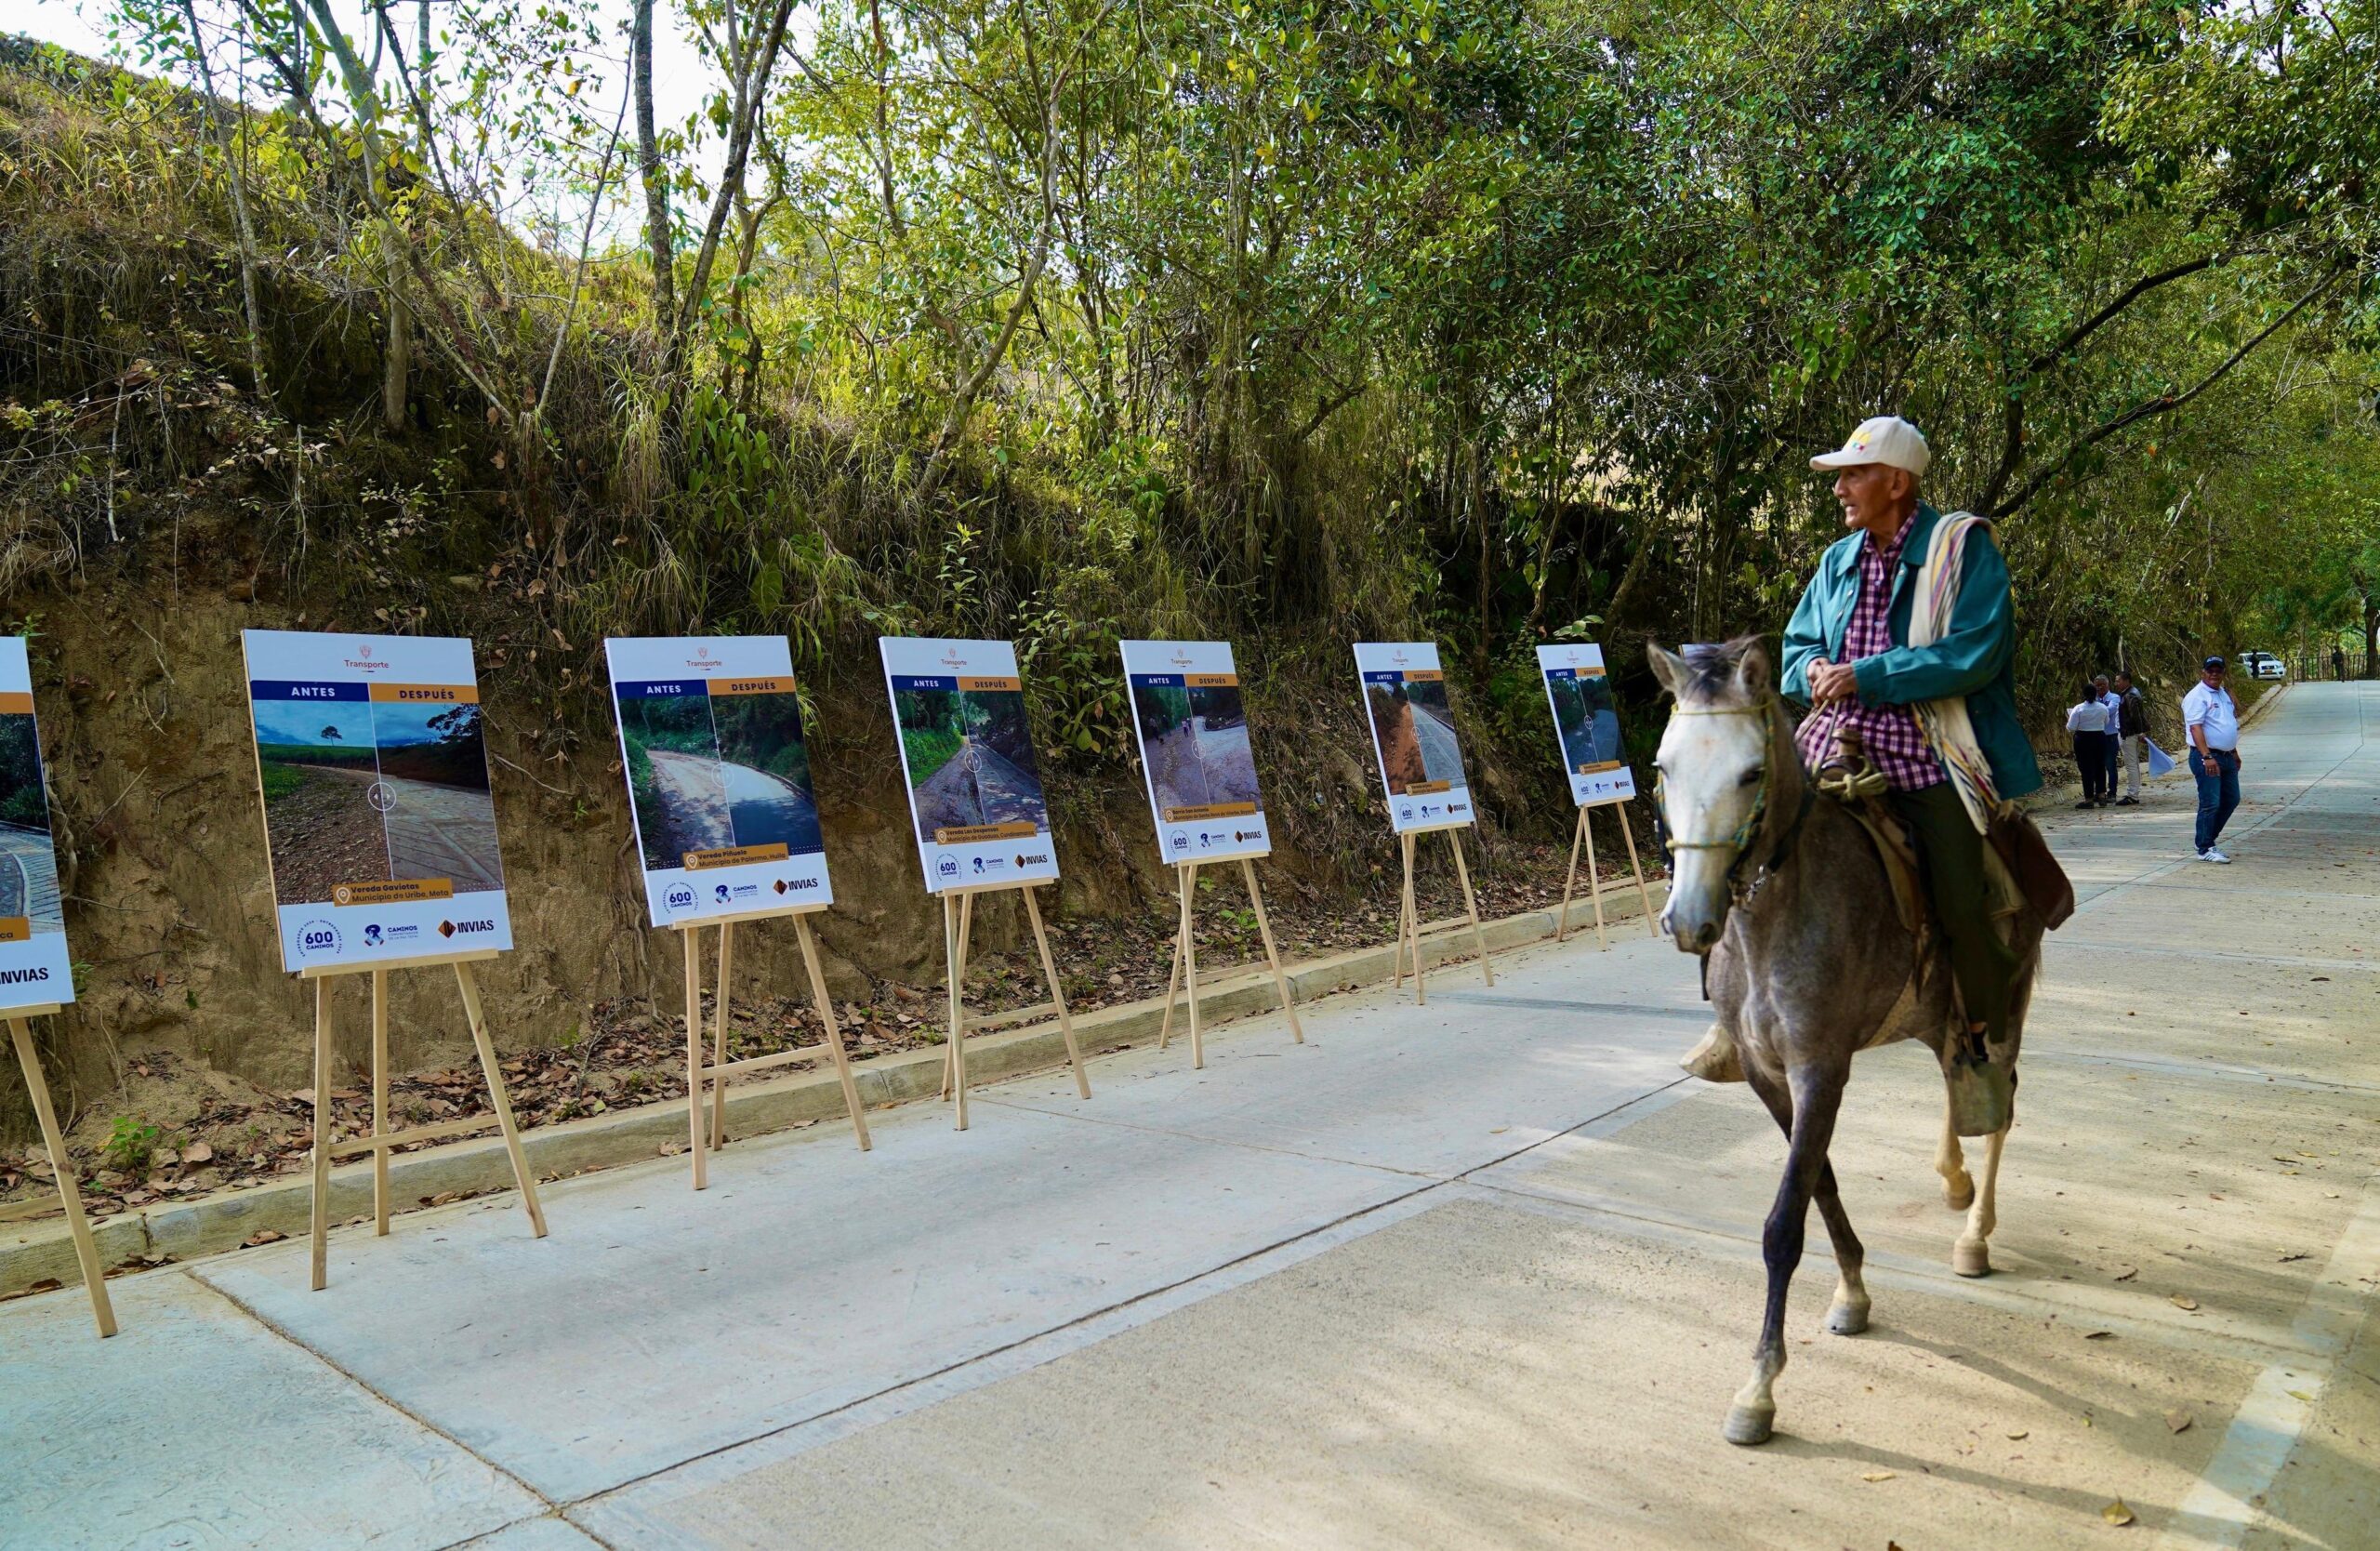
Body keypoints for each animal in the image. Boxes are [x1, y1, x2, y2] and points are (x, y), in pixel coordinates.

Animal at [1656, 637, 2046, 1446]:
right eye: (1664, 768)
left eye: (1750, 772)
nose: (1689, 919)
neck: (1774, 918)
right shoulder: (1769, 1075)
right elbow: (1821, 1184)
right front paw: (1855, 1293)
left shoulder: (1820, 1068)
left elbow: (1784, 1222)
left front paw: (1759, 1389)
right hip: (1935, 1014)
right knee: (1953, 1077)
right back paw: (1952, 1179)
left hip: (2005, 1000)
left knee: (2001, 1101)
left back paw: (1976, 1234)